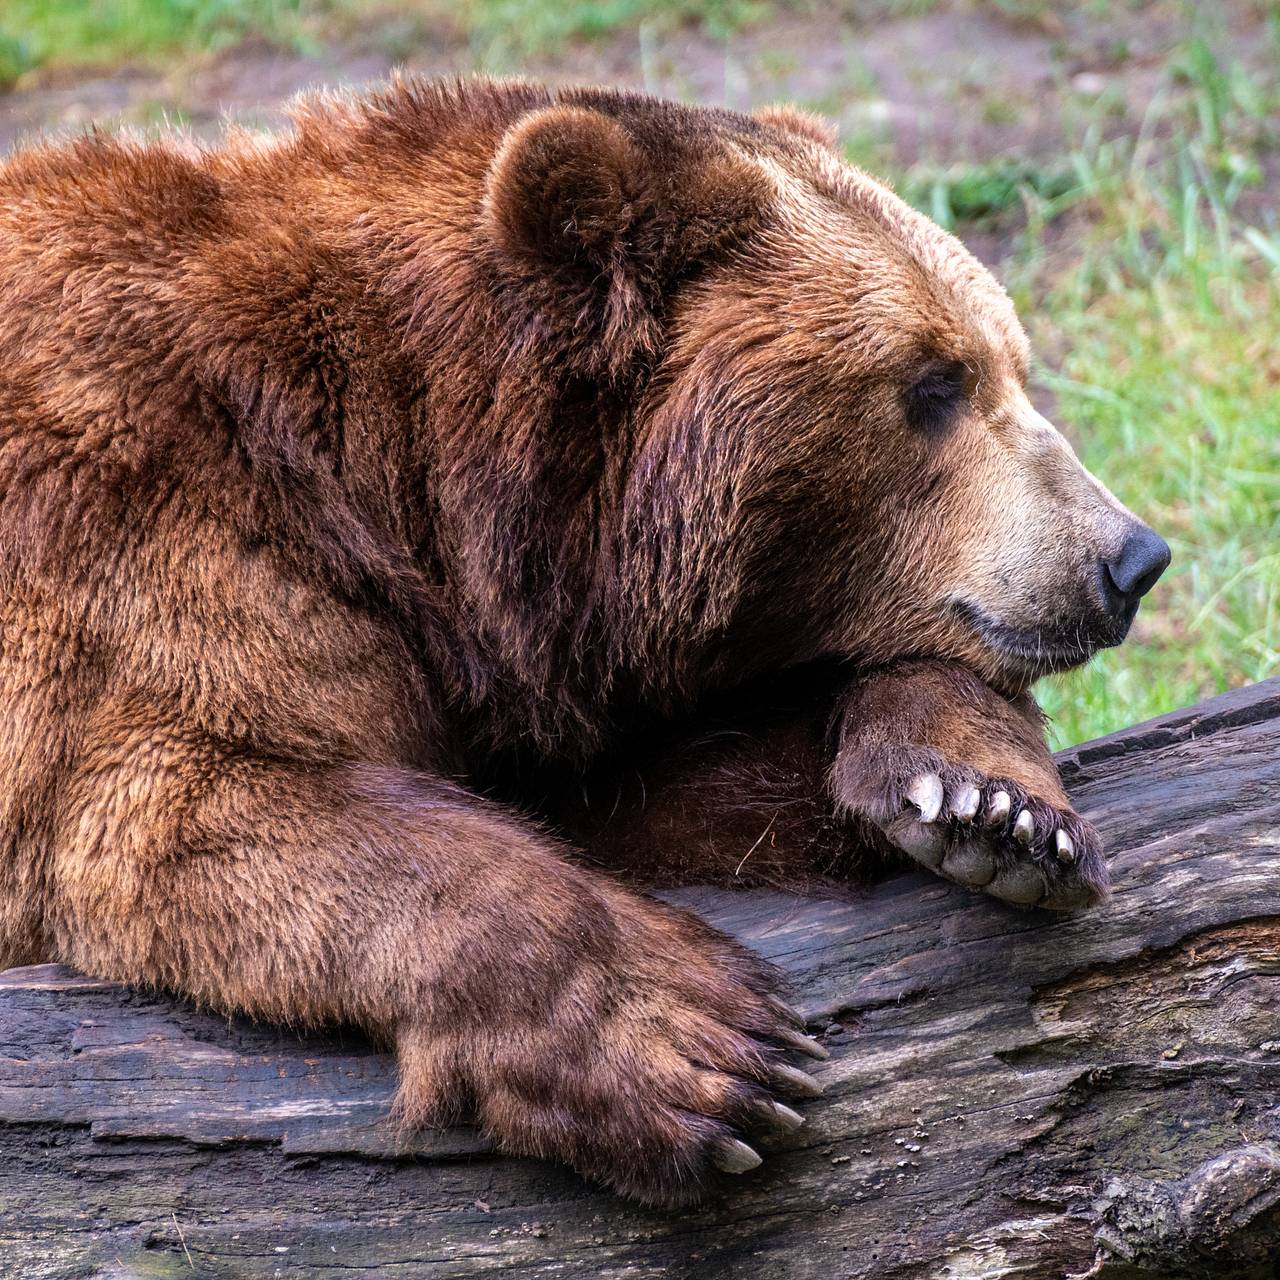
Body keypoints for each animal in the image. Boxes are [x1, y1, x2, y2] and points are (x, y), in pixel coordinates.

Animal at [0, 78, 1169, 1206]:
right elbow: (183, 809)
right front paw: (701, 1054)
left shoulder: (530, 701)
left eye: (1009, 362)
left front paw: (990, 805)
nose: (1129, 558)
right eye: (932, 381)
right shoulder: (133, 538)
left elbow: (698, 795)